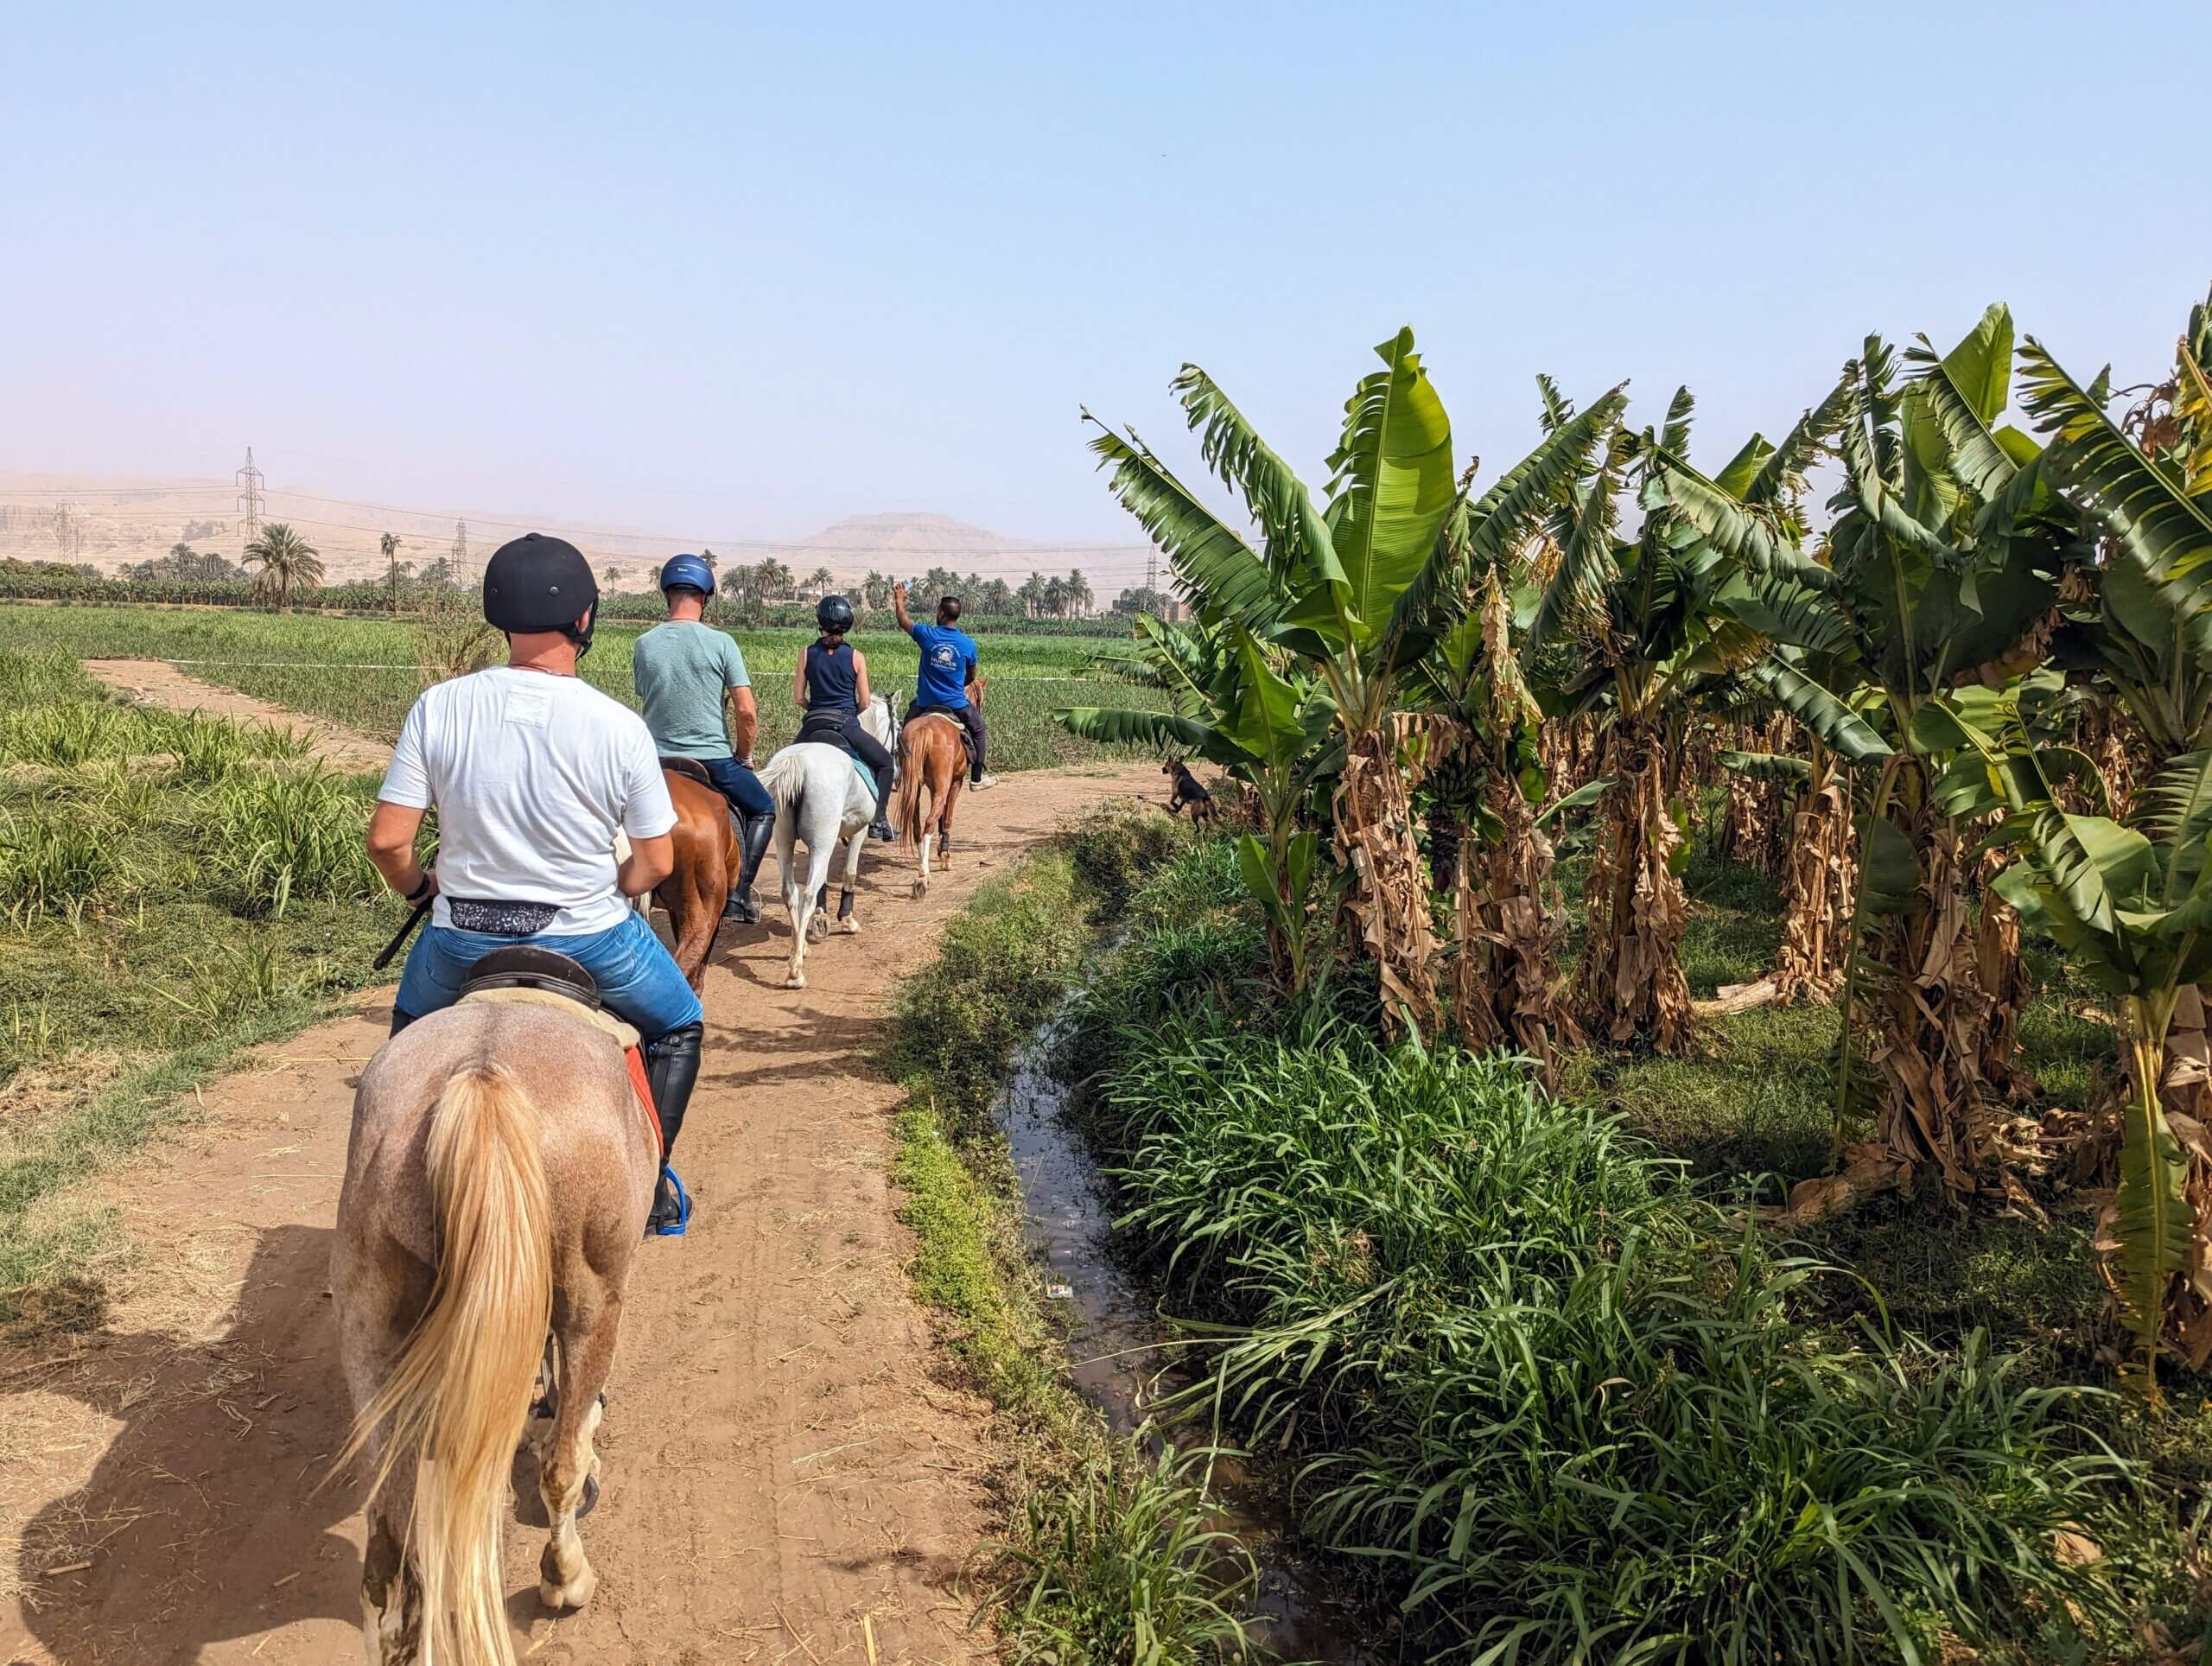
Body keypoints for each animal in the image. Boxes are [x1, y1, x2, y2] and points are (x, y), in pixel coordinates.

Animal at [327, 995, 654, 1655]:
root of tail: (481, 1076)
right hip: (595, 1301)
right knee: (560, 1471)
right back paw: (565, 1577)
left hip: (370, 1329)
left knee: (387, 1557)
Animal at [760, 690, 898, 986]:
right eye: (898, 729)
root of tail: (798, 763)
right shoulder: (857, 832)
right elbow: (849, 874)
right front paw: (846, 920)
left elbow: (824, 880)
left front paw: (819, 920)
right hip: (822, 840)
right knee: (808, 893)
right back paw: (796, 970)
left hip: (784, 839)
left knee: (791, 892)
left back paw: (800, 947)